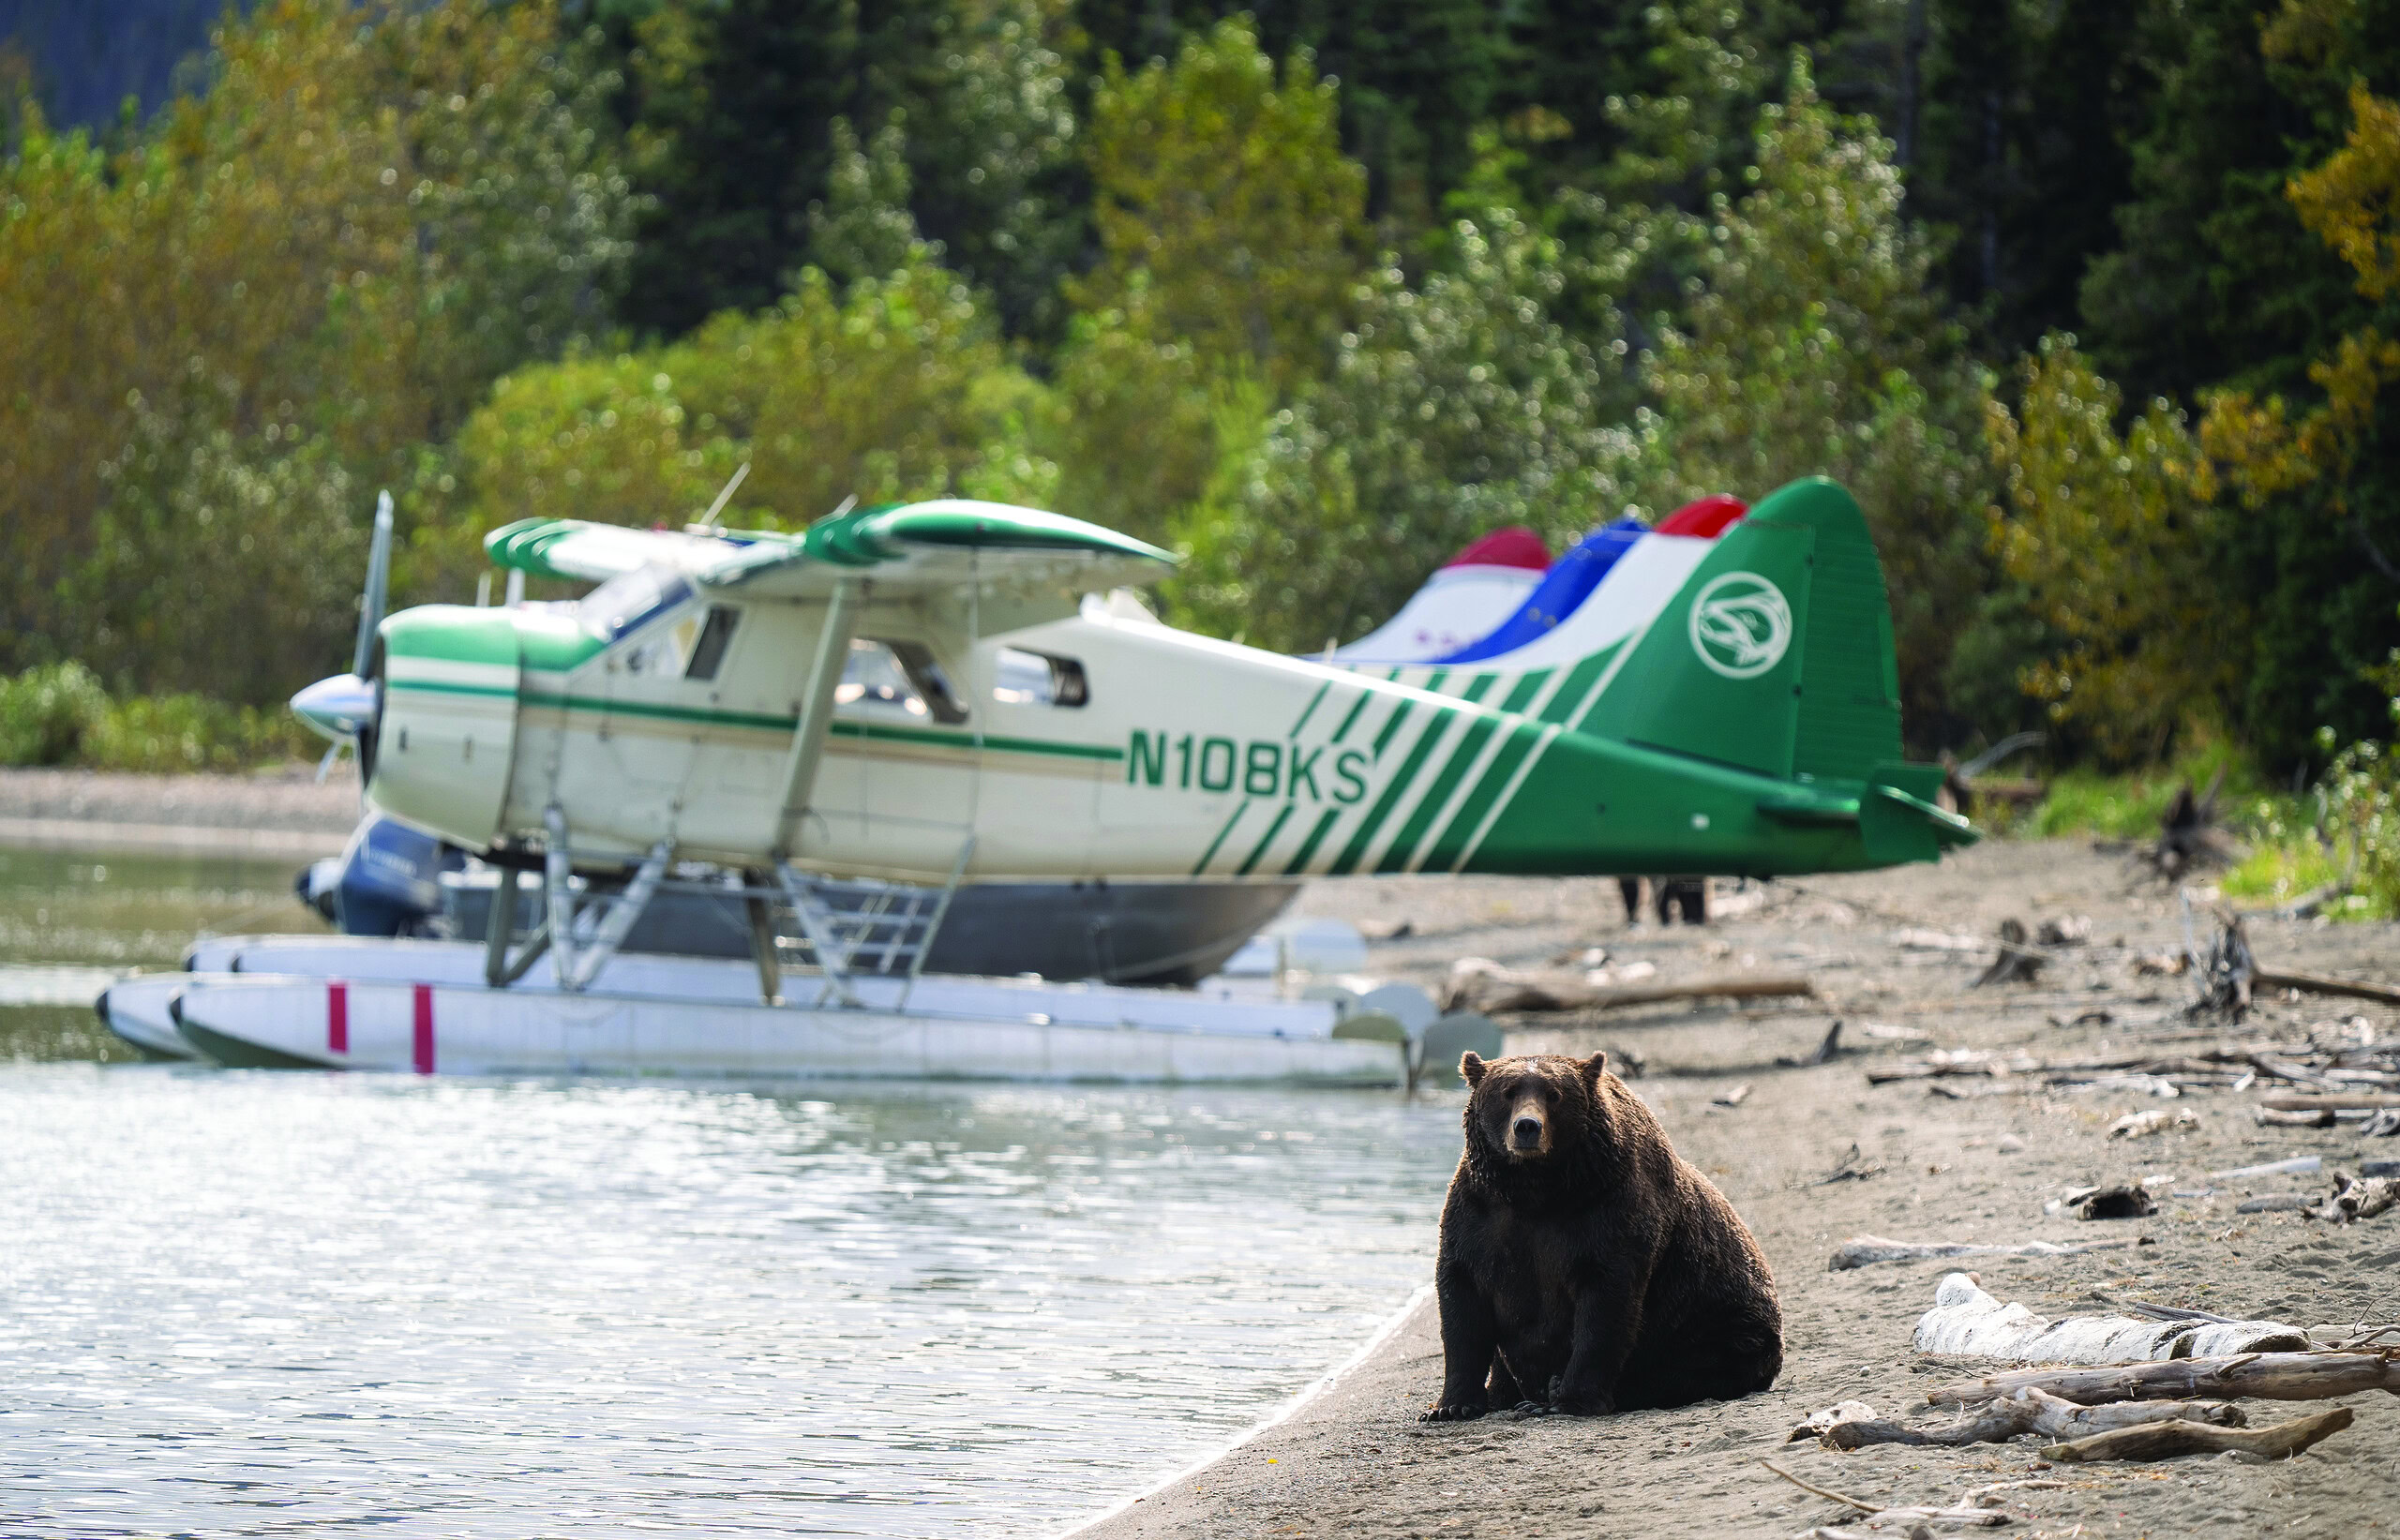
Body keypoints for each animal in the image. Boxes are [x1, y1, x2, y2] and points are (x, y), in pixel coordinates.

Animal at [1420, 1045, 1785, 1420]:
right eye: (1507, 1092)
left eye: (1554, 1094)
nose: (1527, 1127)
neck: (1535, 1190)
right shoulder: (1481, 1216)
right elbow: (1462, 1302)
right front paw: (1451, 1406)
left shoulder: (1607, 1210)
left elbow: (1605, 1304)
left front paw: (1572, 1399)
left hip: (1719, 1320)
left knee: (1692, 1363)